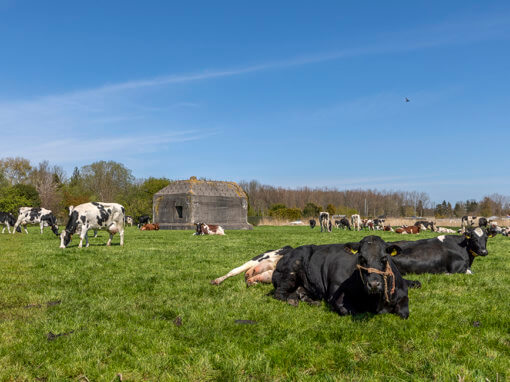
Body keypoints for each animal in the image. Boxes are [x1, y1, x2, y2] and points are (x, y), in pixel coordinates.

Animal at [270, 236, 418, 320]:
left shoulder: (403, 294)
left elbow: (404, 313)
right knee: (279, 293)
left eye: (384, 258)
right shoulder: (335, 294)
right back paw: (292, 300)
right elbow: (349, 311)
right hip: (290, 271)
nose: (374, 284)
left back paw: (312, 301)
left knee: (301, 292)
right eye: (361, 257)